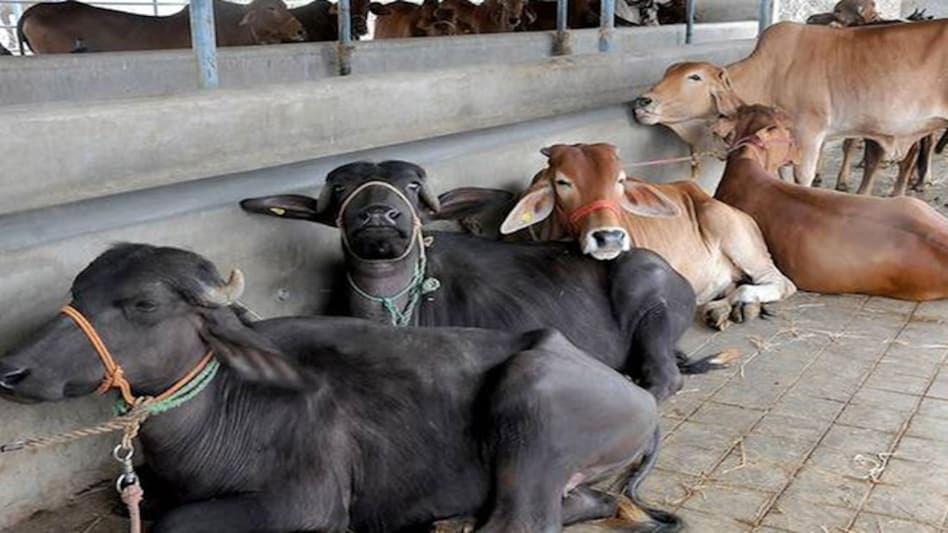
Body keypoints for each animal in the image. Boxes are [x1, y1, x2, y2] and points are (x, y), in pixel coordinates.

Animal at [0, 243, 676, 532]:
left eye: (142, 303)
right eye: (76, 292)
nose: (12, 371)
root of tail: (638, 398)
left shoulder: (305, 504)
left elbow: (171, 524)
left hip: (531, 403)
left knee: (521, 523)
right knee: (593, 501)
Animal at [497, 143, 795, 330]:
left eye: (620, 180)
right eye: (562, 182)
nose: (609, 237)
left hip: (733, 234)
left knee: (781, 282)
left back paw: (743, 301)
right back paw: (730, 309)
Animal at [631, 20, 948, 188]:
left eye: (694, 76)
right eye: (667, 71)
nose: (643, 100)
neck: (771, 74)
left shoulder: (809, 133)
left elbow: (802, 176)